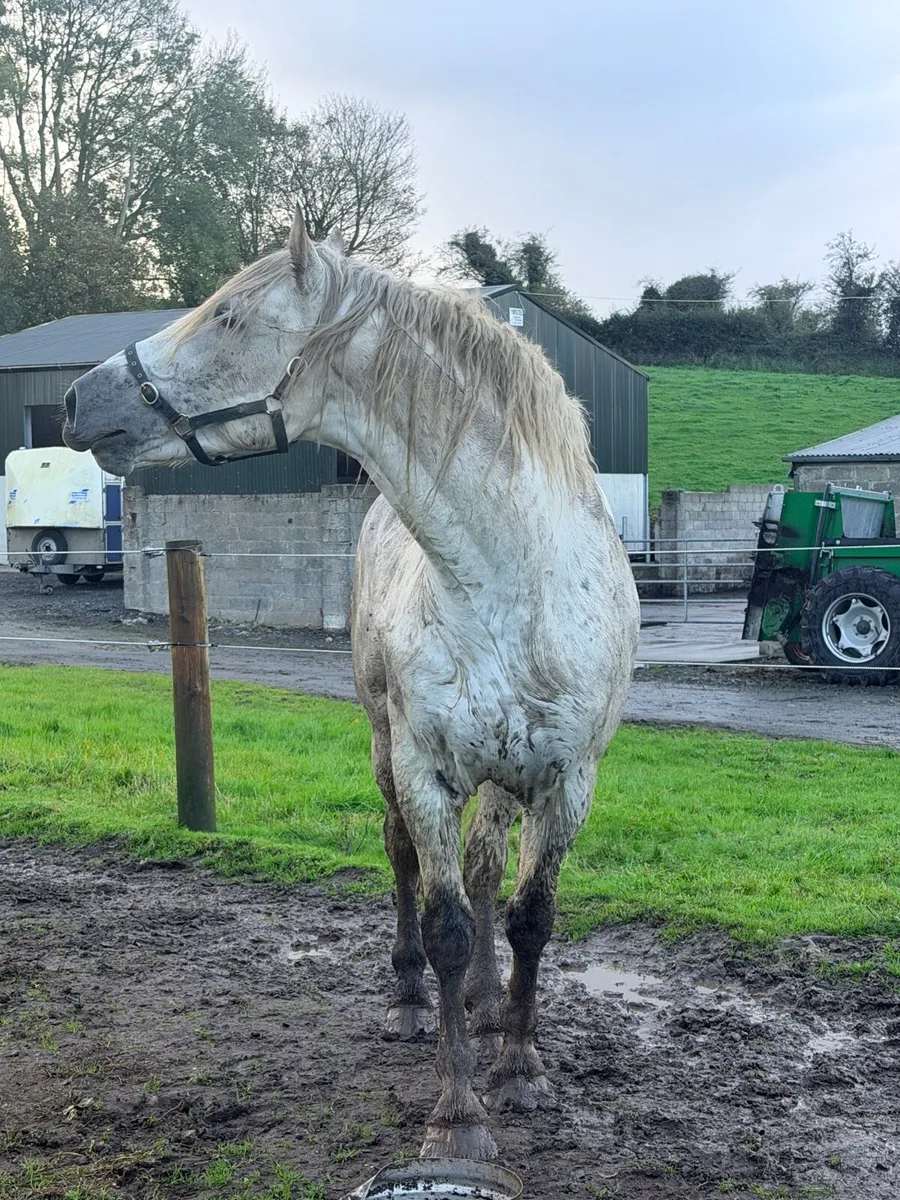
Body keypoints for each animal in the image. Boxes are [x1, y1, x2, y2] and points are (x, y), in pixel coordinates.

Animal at [63, 208, 640, 1162]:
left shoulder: (567, 783)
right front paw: (457, 1115)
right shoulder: (425, 771)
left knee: (486, 868)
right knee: (403, 857)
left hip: (502, 781)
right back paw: (411, 1001)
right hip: (385, 750)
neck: (512, 585)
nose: (79, 401)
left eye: (228, 318)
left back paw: (489, 1006)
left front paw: (519, 1069)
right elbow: (445, 924)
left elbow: (530, 916)